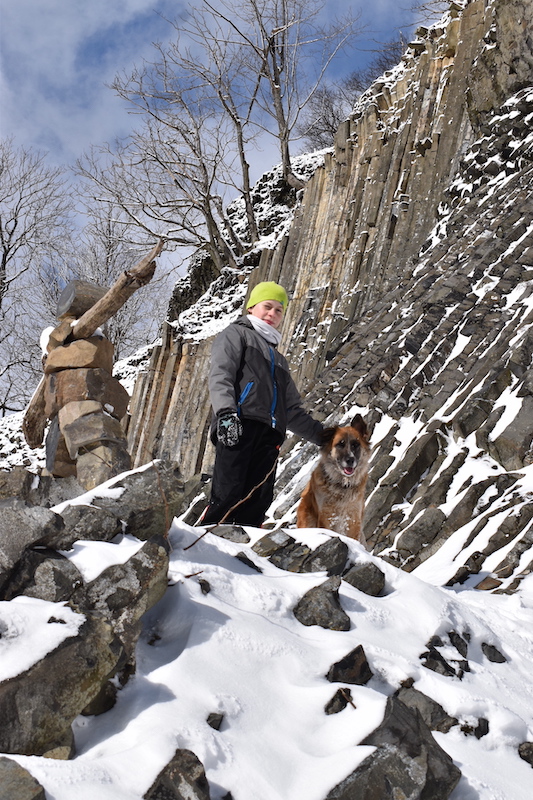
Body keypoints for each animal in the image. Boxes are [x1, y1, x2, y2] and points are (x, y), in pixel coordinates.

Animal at [296, 416, 370, 548]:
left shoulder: (353, 519)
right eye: (340, 444)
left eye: (355, 444)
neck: (342, 486)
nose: (350, 460)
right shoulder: (326, 518)